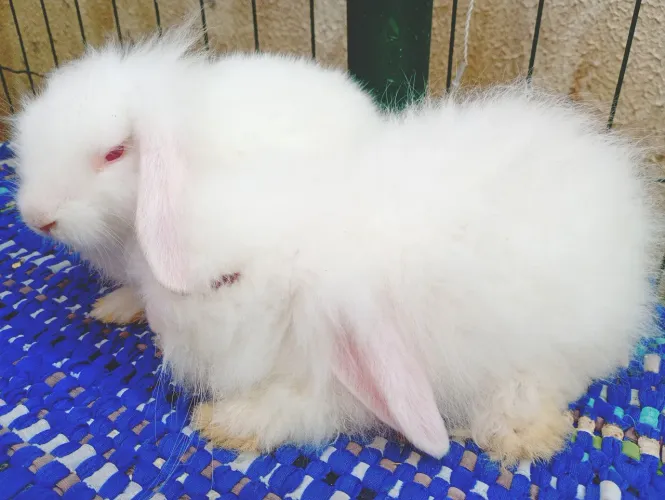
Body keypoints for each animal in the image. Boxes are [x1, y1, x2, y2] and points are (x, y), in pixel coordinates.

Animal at [127, 82, 663, 465]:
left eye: (225, 282)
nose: (155, 324)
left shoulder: (338, 385)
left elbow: (294, 408)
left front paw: (221, 423)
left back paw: (520, 435)